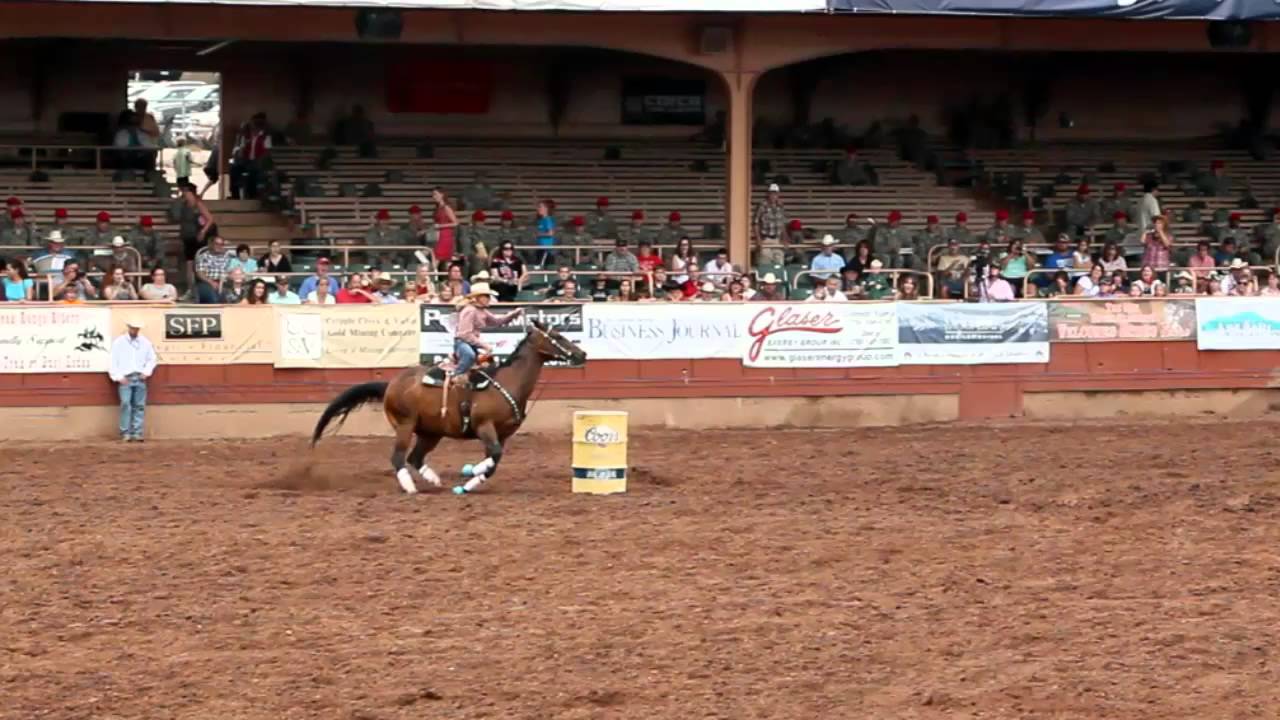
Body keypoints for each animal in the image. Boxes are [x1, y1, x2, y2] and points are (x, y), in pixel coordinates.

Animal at [310, 319, 587, 495]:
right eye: (558, 336)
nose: (581, 354)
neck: (508, 381)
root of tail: (391, 383)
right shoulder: (485, 427)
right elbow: (494, 456)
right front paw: (472, 470)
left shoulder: (504, 434)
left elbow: (495, 461)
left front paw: (468, 483)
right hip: (405, 425)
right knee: (399, 457)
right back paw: (410, 487)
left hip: (430, 432)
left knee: (415, 457)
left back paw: (433, 480)